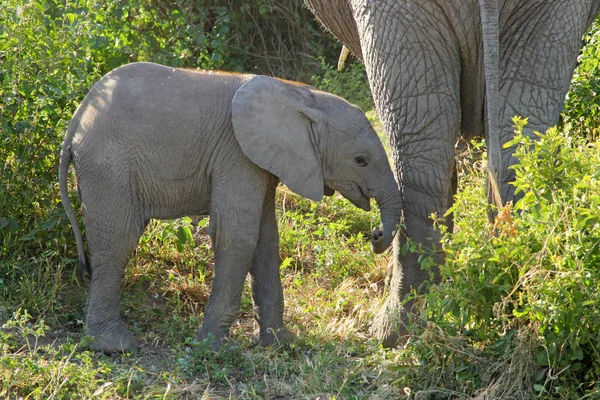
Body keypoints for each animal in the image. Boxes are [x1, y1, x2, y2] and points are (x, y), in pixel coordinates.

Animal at [58, 62, 400, 354]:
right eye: (360, 160)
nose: (375, 235)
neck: (302, 95)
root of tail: (75, 123)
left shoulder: (262, 161)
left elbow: (266, 240)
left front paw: (279, 343)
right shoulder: (236, 153)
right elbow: (236, 235)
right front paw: (214, 348)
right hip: (108, 167)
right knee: (117, 241)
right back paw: (115, 347)